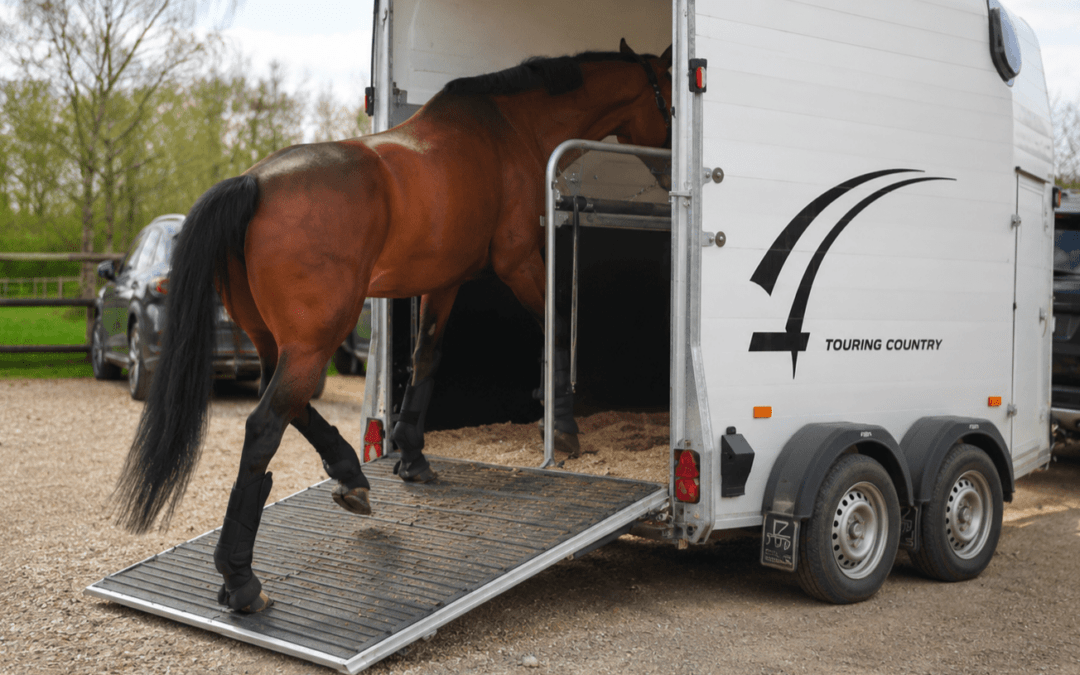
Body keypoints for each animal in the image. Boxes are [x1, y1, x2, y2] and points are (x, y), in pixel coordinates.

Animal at [112, 39, 673, 613]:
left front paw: (412, 454)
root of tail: (253, 183)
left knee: (292, 405)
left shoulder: (443, 281)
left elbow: (427, 355)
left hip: (276, 341)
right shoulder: (520, 262)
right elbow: (556, 327)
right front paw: (563, 429)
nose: (674, 176)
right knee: (266, 425)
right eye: (669, 100)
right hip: (315, 339)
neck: (509, 131)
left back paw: (349, 476)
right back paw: (242, 579)